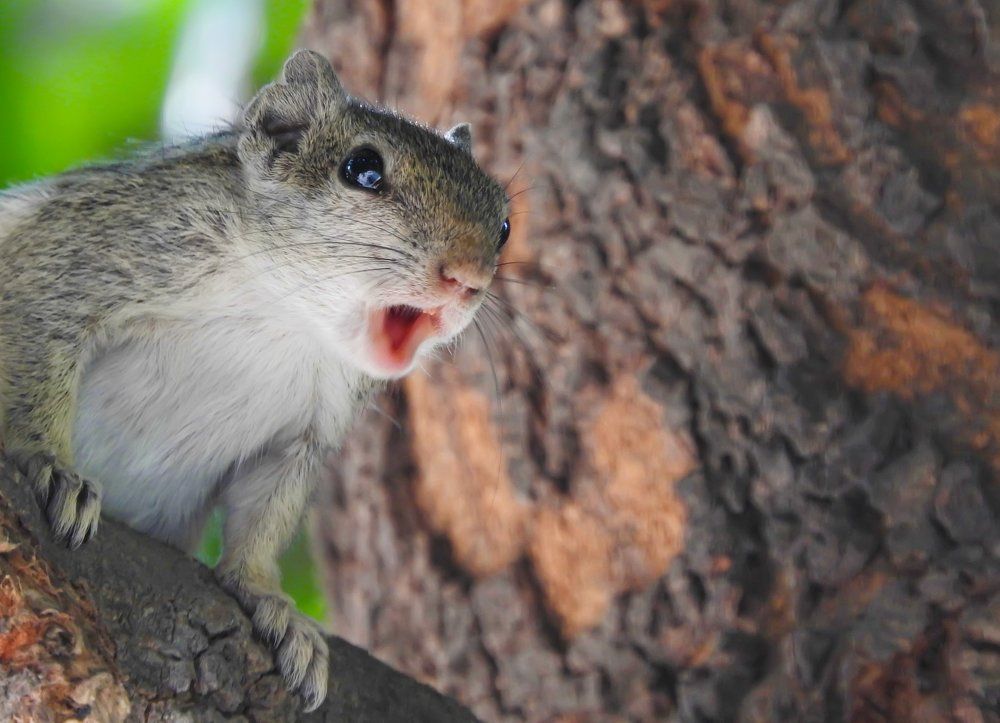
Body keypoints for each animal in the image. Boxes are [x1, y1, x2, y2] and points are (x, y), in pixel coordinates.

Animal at [0, 50, 510, 711]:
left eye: (505, 225)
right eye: (362, 170)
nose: (468, 277)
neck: (286, 314)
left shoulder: (309, 431)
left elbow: (264, 517)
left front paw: (268, 599)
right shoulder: (84, 253)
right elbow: (36, 343)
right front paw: (48, 462)